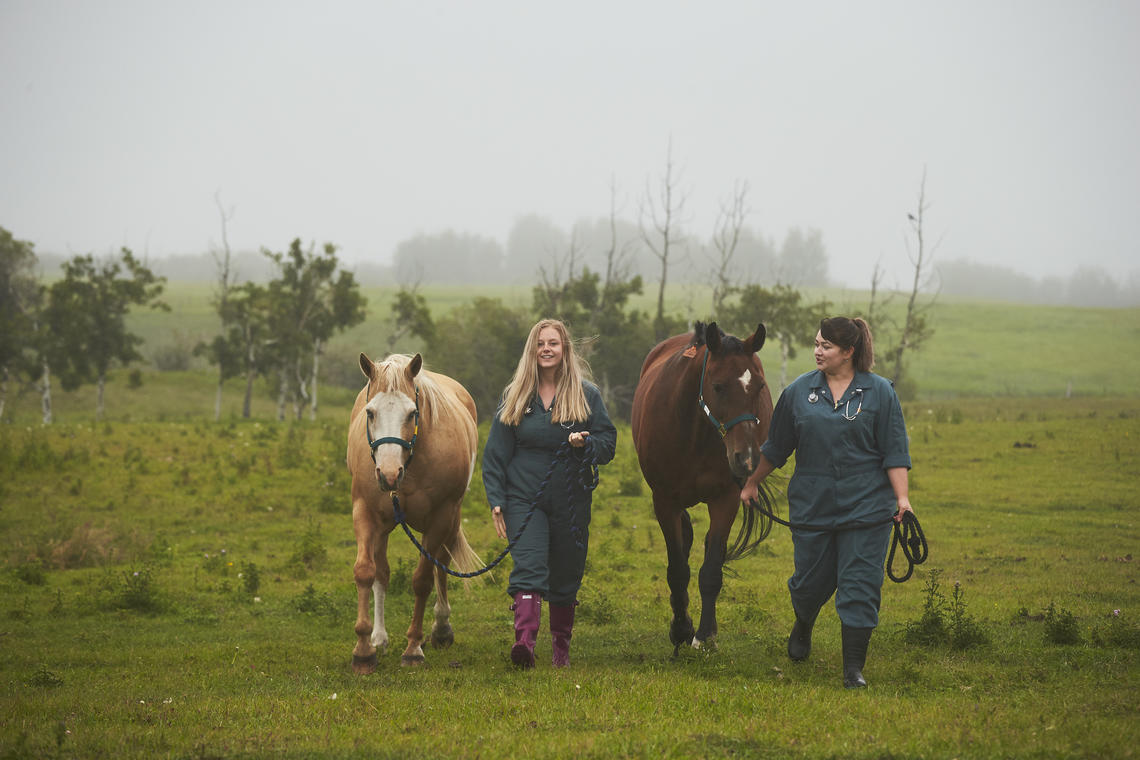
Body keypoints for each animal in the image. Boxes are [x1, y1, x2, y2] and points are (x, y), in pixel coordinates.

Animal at [342, 350, 481, 669]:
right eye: (370, 412)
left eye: (411, 413)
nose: (388, 474)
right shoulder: (365, 512)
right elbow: (366, 572)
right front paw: (363, 649)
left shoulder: (440, 518)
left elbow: (422, 580)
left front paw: (414, 647)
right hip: (383, 526)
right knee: (382, 572)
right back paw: (379, 638)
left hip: (451, 518)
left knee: (442, 563)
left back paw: (441, 628)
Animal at [629, 323, 779, 651]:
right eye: (719, 386)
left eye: (759, 387)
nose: (747, 459)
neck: (694, 431)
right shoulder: (665, 501)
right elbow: (677, 569)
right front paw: (681, 629)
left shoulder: (726, 499)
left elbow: (711, 570)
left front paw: (705, 635)